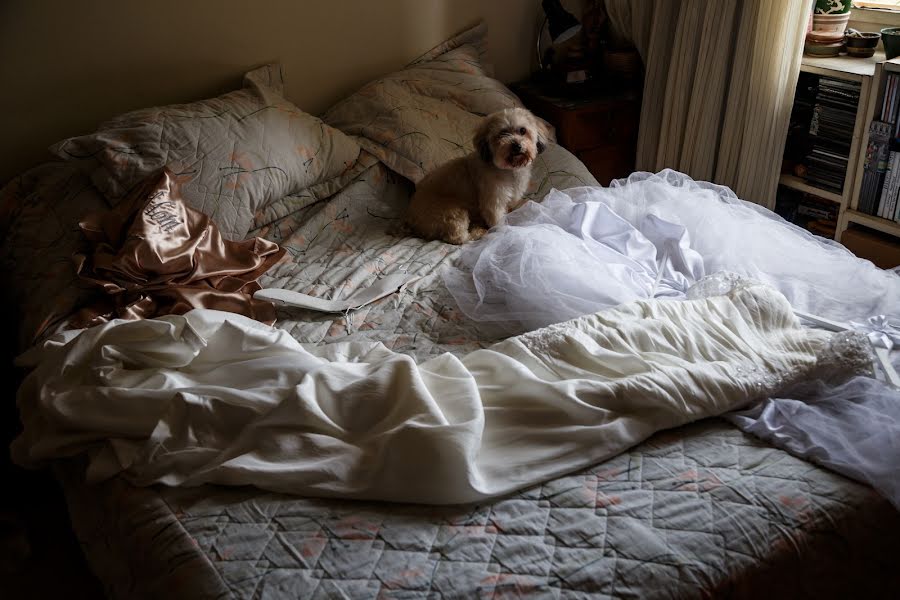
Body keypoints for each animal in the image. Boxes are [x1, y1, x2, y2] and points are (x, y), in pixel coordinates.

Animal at [404, 109, 552, 245]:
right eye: (502, 134)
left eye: (522, 130)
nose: (516, 145)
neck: (509, 170)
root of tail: (412, 219)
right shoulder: (493, 202)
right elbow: (498, 220)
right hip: (453, 212)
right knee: (458, 238)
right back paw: (478, 232)